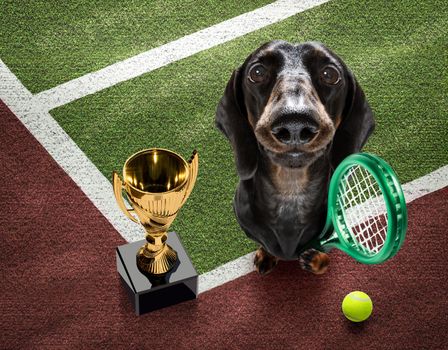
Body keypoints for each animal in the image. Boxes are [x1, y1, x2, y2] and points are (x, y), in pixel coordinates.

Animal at [216, 41, 374, 276]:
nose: (294, 124)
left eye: (330, 74)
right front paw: (266, 255)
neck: (291, 192)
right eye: (257, 72)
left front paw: (316, 260)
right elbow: (264, 243)